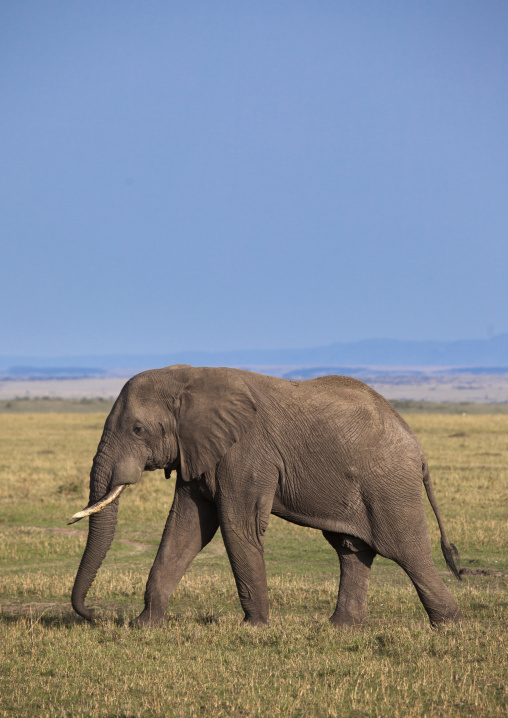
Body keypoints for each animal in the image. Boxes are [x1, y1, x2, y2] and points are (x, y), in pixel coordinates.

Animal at [69, 365, 463, 627]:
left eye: (138, 429)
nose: (94, 615)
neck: (189, 377)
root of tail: (419, 448)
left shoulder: (247, 453)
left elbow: (235, 526)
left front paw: (253, 627)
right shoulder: (197, 451)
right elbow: (186, 528)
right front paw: (143, 625)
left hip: (389, 485)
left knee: (406, 551)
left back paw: (450, 626)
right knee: (351, 549)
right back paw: (339, 628)